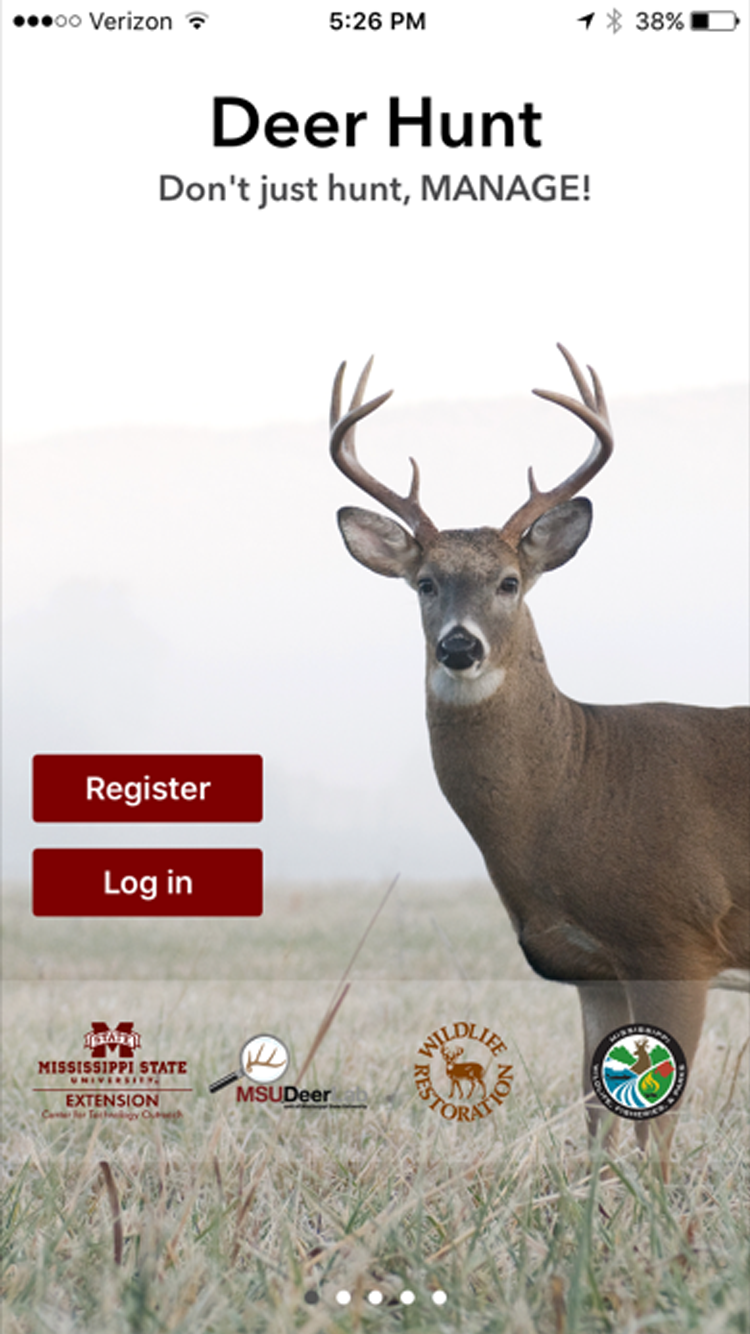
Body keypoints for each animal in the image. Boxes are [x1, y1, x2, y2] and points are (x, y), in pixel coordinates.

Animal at [330, 344, 749, 1178]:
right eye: (425, 584)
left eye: (509, 582)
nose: (460, 646)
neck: (577, 790)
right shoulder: (594, 966)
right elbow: (595, 1116)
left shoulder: (677, 940)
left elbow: (657, 1128)